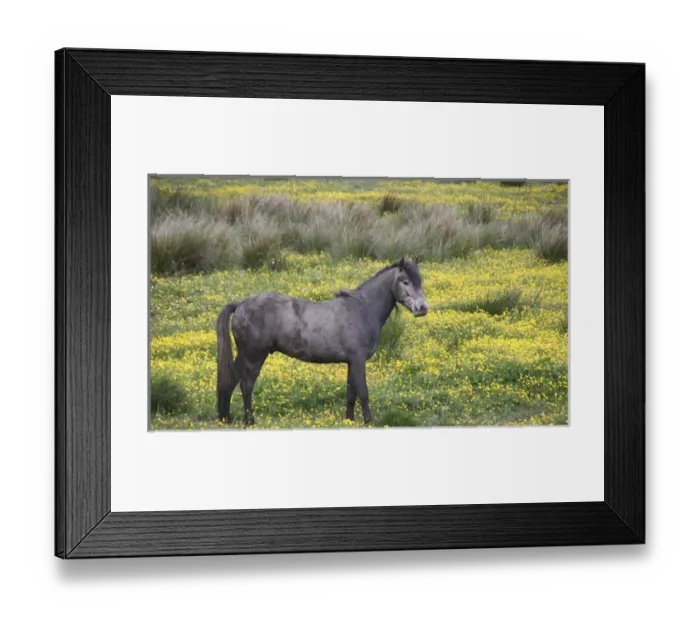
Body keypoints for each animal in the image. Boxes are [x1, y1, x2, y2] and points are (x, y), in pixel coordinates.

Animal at [216, 258, 429, 426]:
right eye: (405, 281)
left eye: (420, 281)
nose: (422, 308)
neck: (361, 310)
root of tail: (240, 304)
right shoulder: (359, 360)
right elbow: (363, 392)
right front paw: (369, 420)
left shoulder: (351, 362)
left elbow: (351, 393)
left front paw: (349, 420)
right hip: (253, 356)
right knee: (246, 385)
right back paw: (249, 421)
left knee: (231, 382)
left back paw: (226, 418)